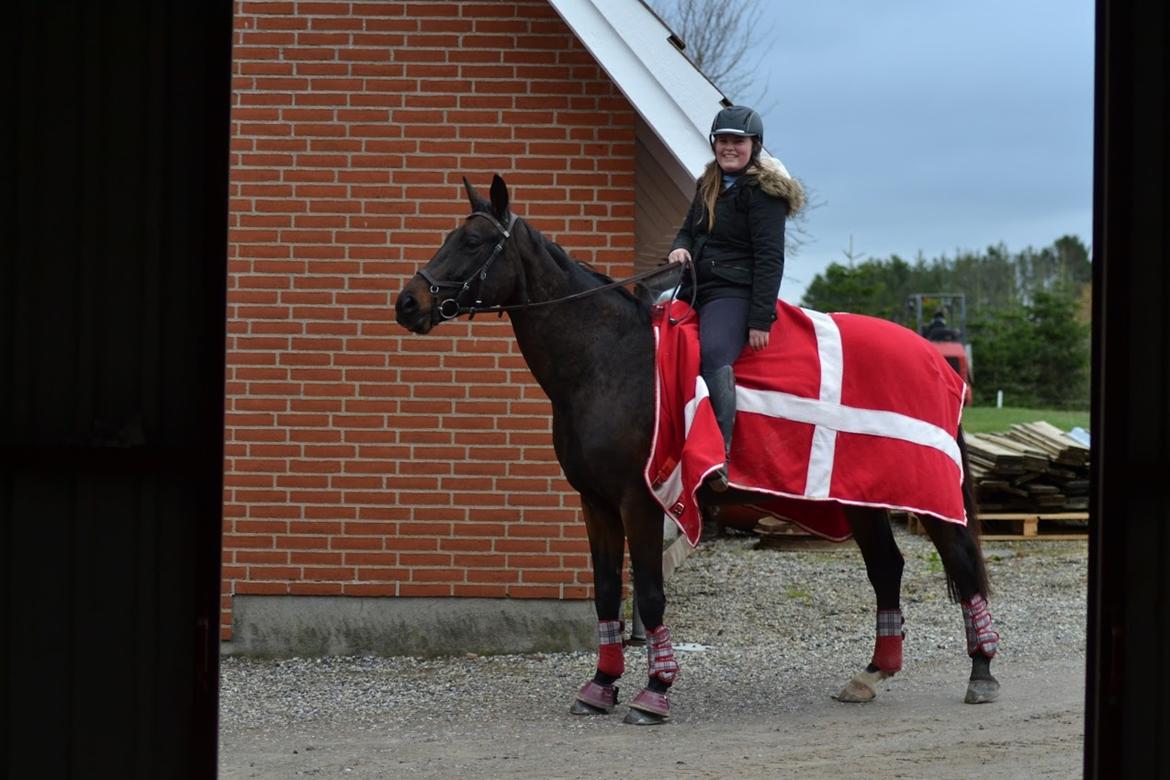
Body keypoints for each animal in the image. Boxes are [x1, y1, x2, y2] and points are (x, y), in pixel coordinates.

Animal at [397, 175, 1001, 725]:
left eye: (474, 241)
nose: (408, 303)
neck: (607, 360)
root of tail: (936, 361)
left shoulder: (640, 501)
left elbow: (649, 595)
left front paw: (655, 691)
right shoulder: (595, 504)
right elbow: (605, 592)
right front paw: (601, 685)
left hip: (925, 500)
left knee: (963, 564)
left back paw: (981, 672)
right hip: (859, 499)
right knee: (887, 568)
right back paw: (873, 674)